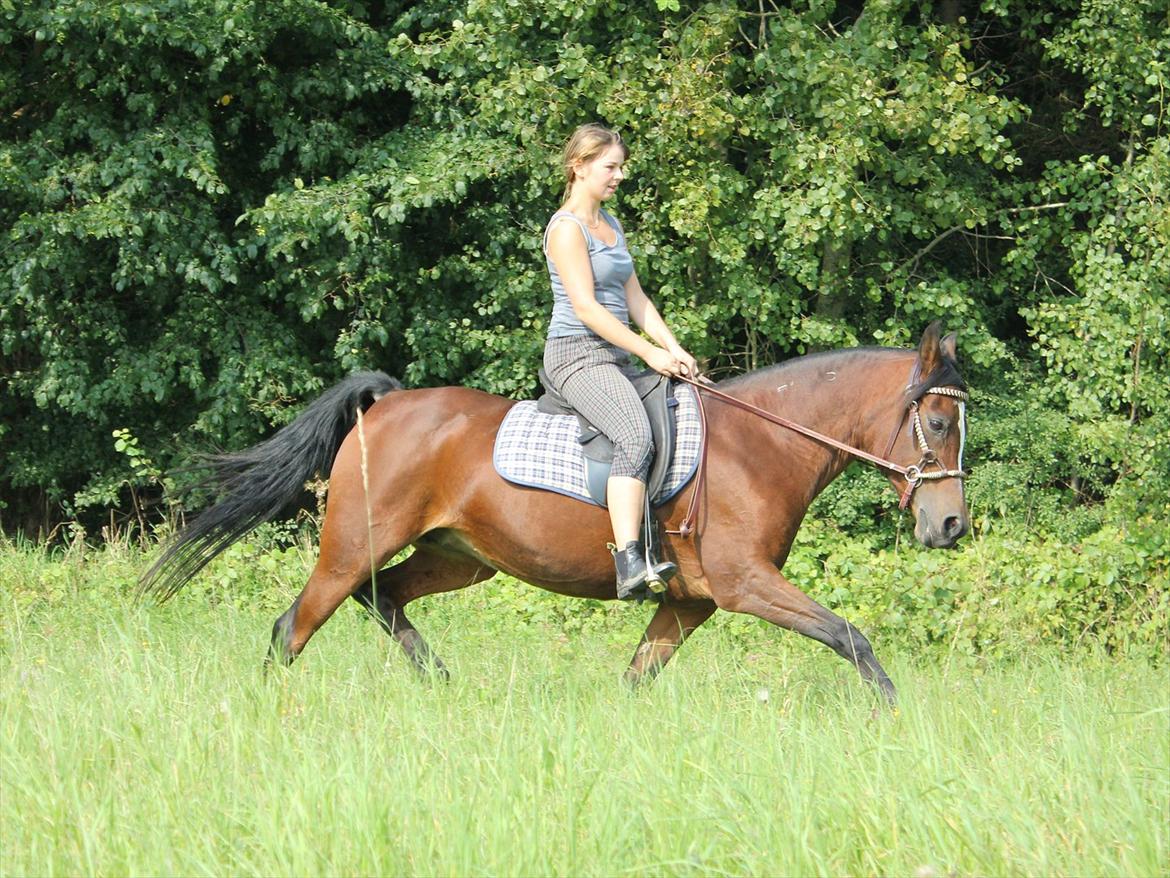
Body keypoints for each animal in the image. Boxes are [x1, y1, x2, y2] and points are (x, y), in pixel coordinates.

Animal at [143, 323, 968, 702]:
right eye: (936, 422)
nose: (951, 526)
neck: (761, 444)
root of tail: (386, 406)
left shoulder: (690, 603)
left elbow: (638, 678)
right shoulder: (743, 584)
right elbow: (849, 635)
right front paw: (894, 716)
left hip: (456, 557)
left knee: (386, 599)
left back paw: (442, 684)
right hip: (351, 546)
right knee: (294, 626)